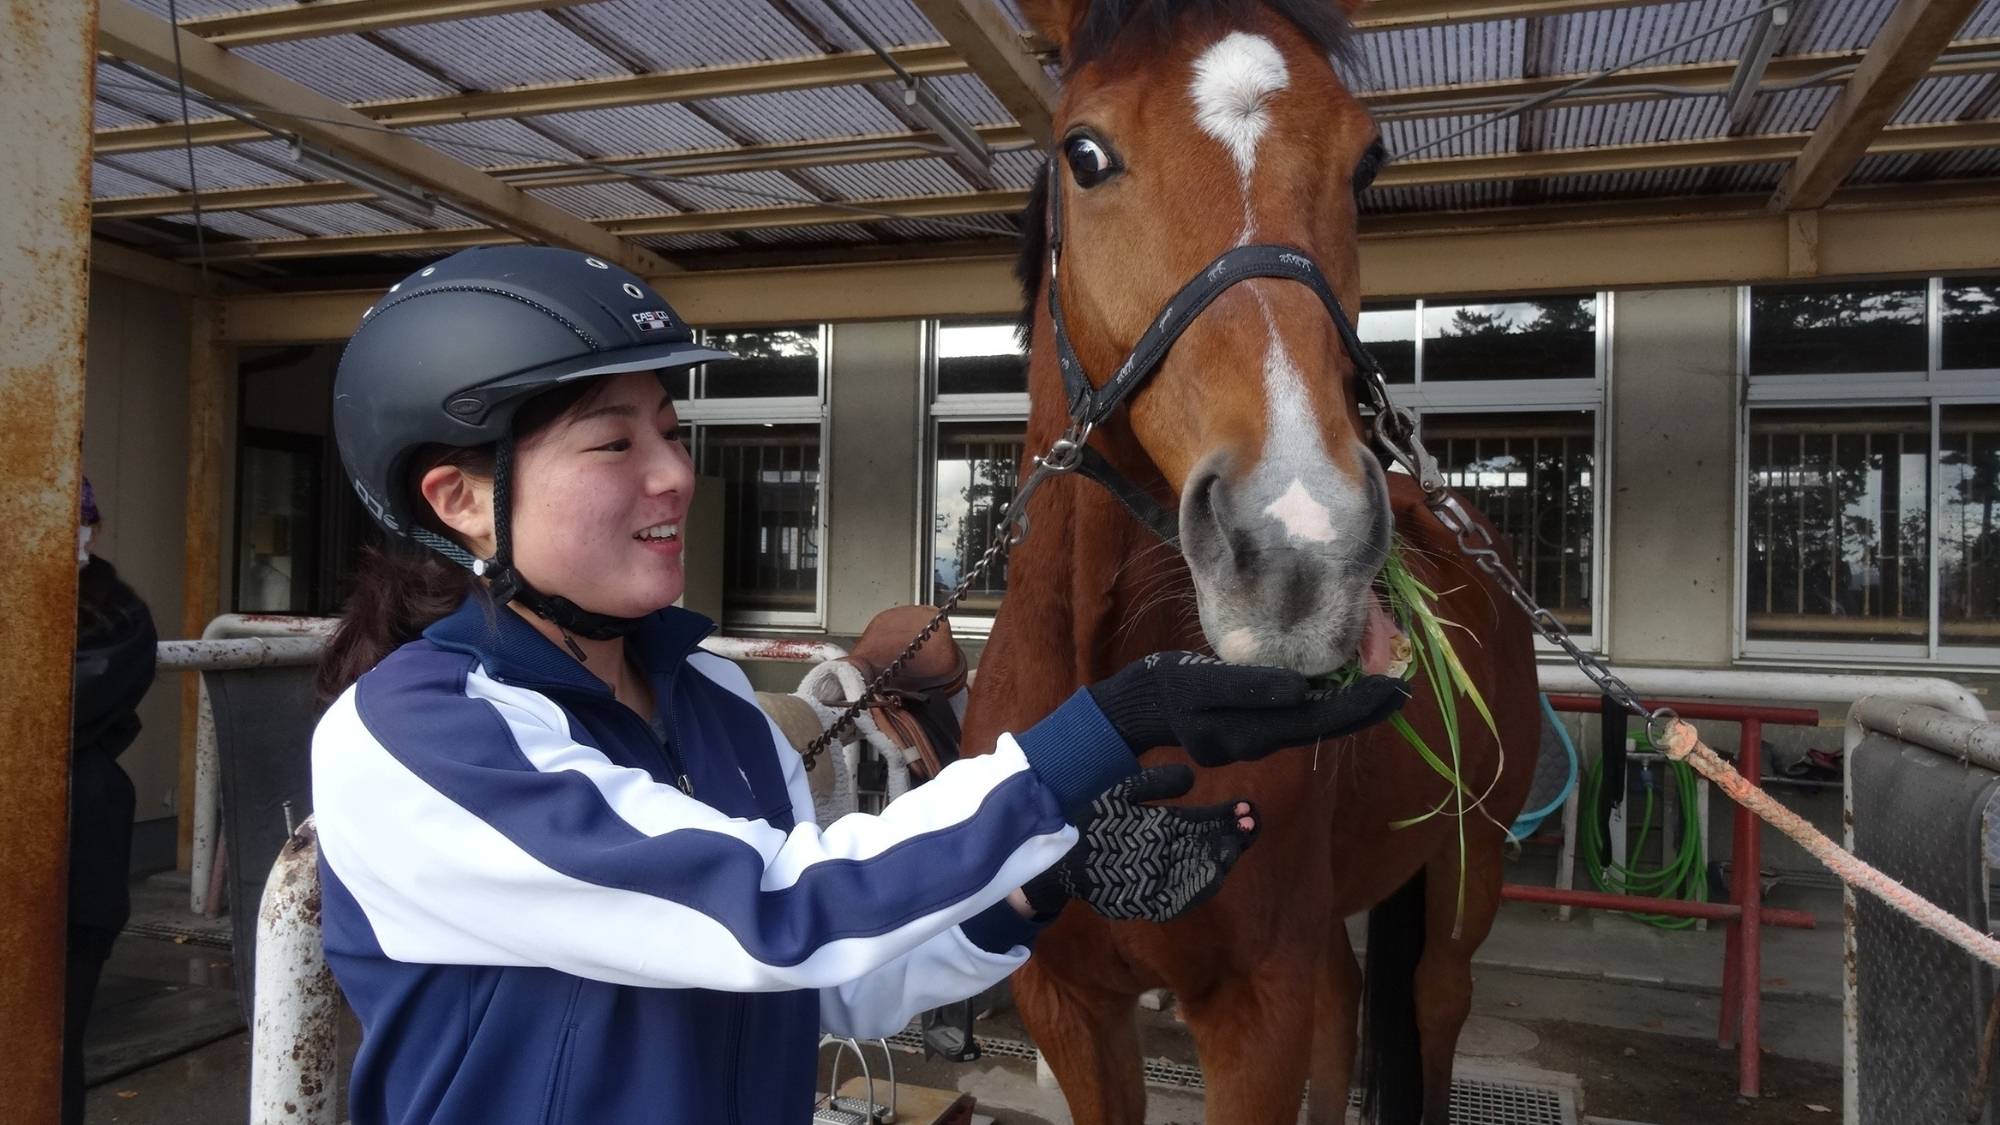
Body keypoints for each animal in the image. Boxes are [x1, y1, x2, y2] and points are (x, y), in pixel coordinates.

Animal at [960, 2, 1536, 1120]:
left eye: (1366, 164)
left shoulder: (1252, 1008)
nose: (1298, 544)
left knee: (1434, 1002)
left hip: (1470, 860)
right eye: (1083, 154)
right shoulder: (1065, 1001)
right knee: (1345, 1003)